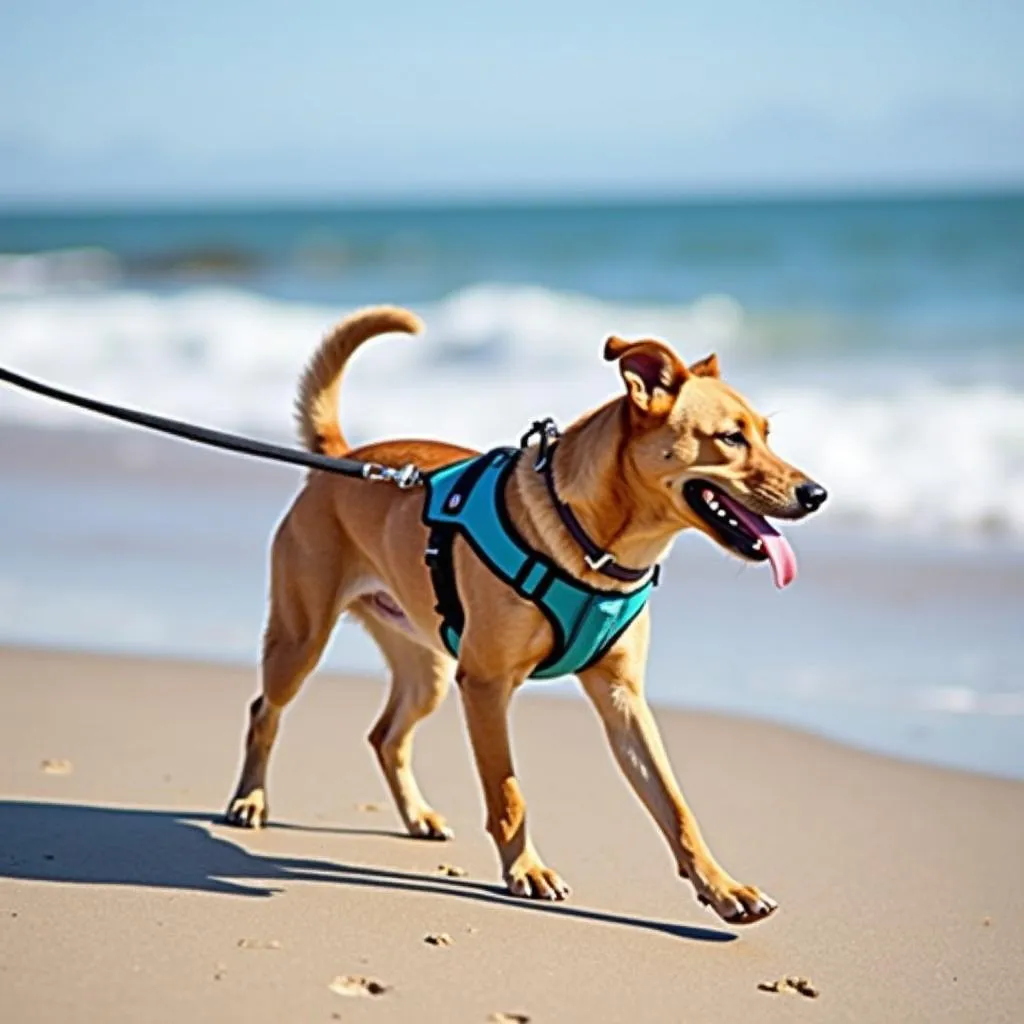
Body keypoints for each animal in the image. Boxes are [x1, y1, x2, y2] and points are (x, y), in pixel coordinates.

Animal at [224, 303, 823, 929]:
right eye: (731, 438)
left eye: (767, 434)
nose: (817, 494)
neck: (594, 546)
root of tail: (340, 458)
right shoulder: (486, 685)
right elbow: (509, 794)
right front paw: (526, 871)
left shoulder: (623, 698)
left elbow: (675, 806)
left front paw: (722, 887)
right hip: (302, 639)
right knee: (265, 710)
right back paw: (249, 800)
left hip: (428, 669)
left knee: (386, 736)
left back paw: (417, 816)